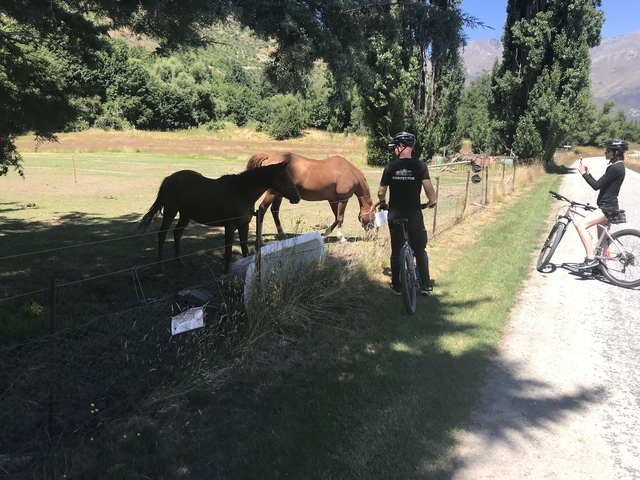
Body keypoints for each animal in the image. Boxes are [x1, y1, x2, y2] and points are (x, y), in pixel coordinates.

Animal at [138, 160, 301, 273]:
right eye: (284, 177)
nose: (297, 198)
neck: (242, 192)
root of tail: (169, 179)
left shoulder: (244, 225)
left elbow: (245, 250)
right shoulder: (230, 226)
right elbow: (228, 252)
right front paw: (226, 273)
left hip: (185, 215)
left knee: (177, 233)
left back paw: (179, 262)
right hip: (170, 212)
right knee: (162, 234)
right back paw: (160, 266)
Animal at [245, 152, 375, 242]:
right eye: (373, 218)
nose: (372, 235)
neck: (350, 172)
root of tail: (271, 157)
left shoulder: (333, 200)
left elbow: (336, 218)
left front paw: (324, 234)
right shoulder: (343, 199)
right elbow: (340, 218)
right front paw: (341, 237)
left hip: (279, 195)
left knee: (274, 211)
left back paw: (282, 234)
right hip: (272, 194)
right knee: (262, 209)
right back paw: (260, 239)